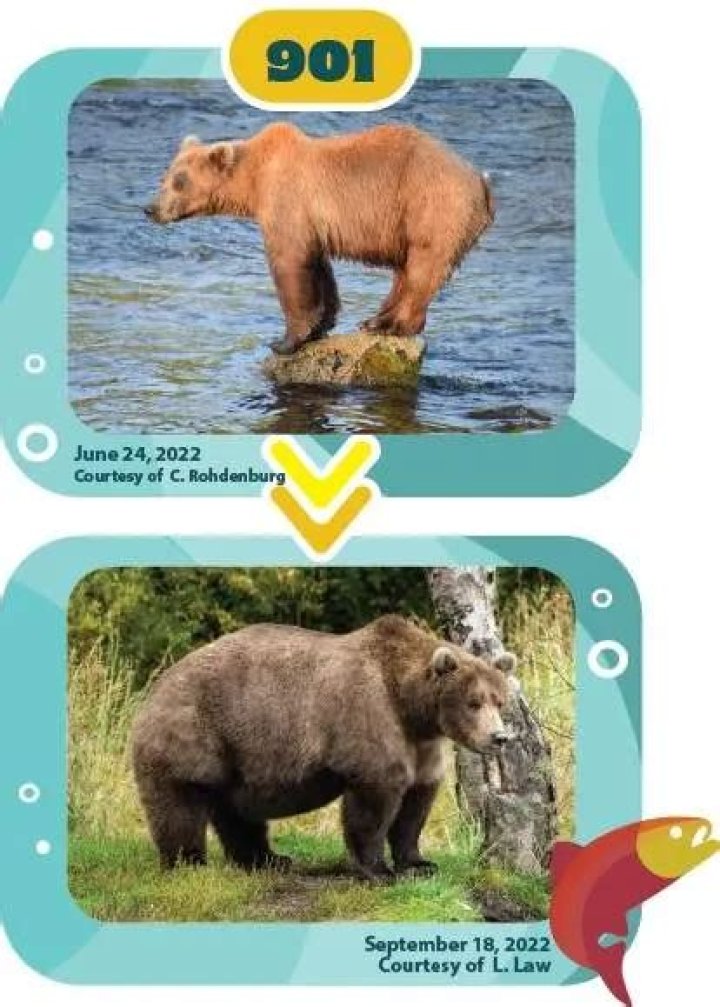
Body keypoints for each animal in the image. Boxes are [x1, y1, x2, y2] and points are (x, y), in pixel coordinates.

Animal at [131, 614, 515, 880]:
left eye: (499, 700)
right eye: (474, 702)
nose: (499, 737)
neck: (411, 707)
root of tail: (155, 690)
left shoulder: (423, 745)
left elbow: (416, 804)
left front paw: (419, 863)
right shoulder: (369, 717)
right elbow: (375, 800)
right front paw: (378, 870)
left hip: (237, 757)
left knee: (237, 812)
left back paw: (269, 859)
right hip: (193, 735)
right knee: (179, 806)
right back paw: (188, 864)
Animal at [144, 123, 494, 355]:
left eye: (180, 181)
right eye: (165, 176)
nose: (150, 209)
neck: (255, 178)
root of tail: (480, 179)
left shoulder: (287, 200)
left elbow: (290, 263)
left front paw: (284, 341)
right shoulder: (313, 224)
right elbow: (318, 266)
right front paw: (322, 323)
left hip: (431, 203)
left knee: (423, 264)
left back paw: (392, 324)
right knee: (407, 268)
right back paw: (375, 319)